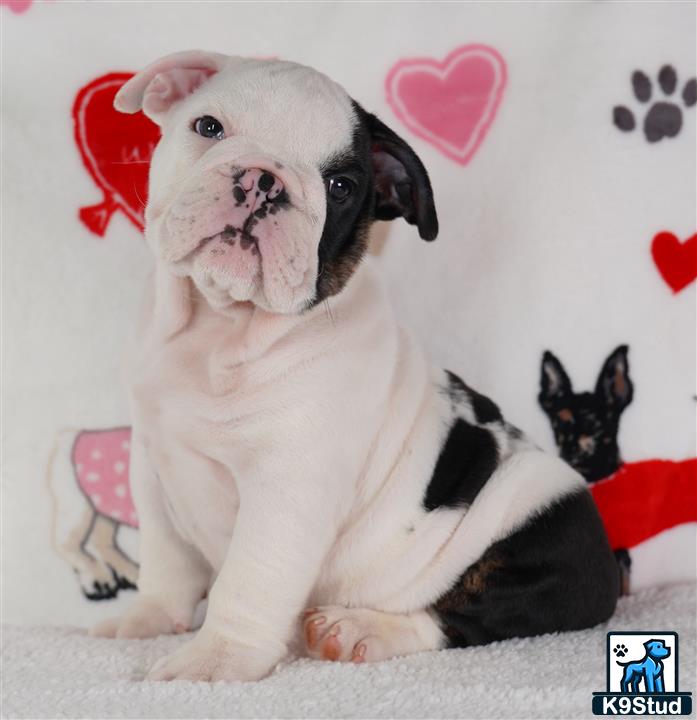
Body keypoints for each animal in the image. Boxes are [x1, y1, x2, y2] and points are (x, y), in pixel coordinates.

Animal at [89, 50, 616, 680]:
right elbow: (167, 557)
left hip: (543, 528)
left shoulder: (286, 490)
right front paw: (148, 617)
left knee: (465, 620)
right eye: (208, 127)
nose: (264, 179)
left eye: (341, 186)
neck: (221, 328)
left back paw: (360, 628)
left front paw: (215, 658)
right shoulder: (154, 465)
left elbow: (248, 579)